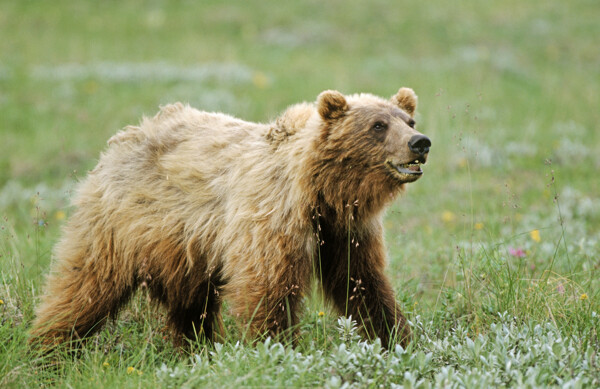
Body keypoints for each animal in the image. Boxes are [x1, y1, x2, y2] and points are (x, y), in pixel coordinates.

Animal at [30, 87, 432, 348]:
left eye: (409, 119)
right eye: (378, 125)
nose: (420, 143)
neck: (322, 191)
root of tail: (126, 135)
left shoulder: (345, 231)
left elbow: (362, 282)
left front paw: (395, 338)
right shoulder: (271, 217)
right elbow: (268, 286)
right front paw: (276, 346)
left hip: (184, 247)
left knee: (191, 305)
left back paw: (196, 347)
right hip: (121, 222)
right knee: (86, 283)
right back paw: (48, 345)